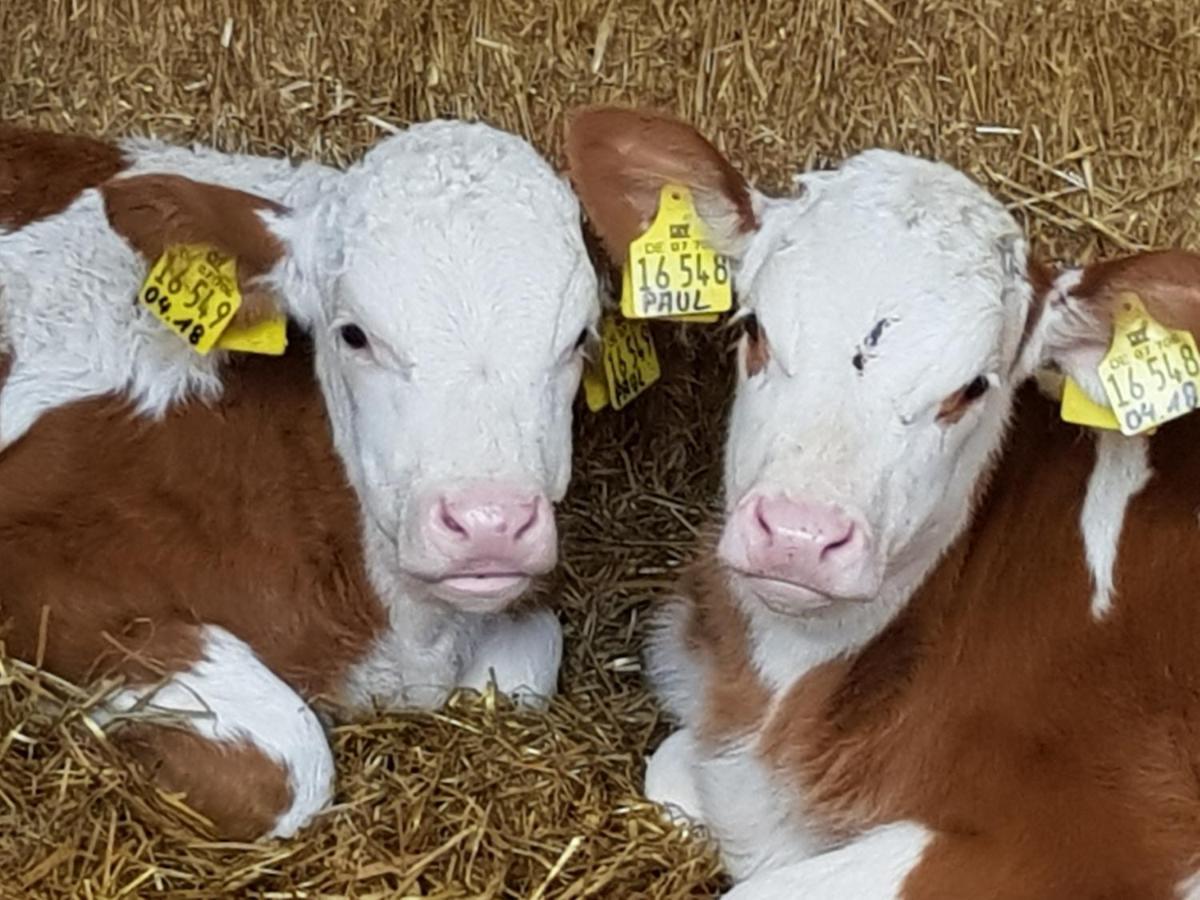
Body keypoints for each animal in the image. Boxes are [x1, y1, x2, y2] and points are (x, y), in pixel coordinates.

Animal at [0, 123, 600, 844]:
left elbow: (523, 669)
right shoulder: (36, 569)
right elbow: (292, 763)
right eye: (354, 335)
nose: (490, 524)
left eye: (580, 338)